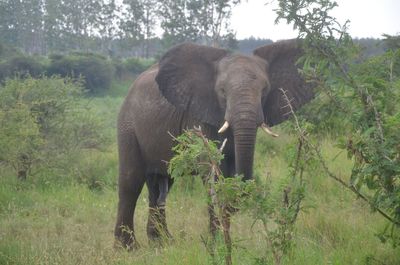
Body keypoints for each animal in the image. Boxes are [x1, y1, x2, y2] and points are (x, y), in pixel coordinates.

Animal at [114, 39, 314, 248]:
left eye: (265, 90)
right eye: (222, 92)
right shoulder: (198, 116)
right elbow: (212, 173)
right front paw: (217, 244)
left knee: (161, 185)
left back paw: (162, 244)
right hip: (127, 125)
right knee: (131, 182)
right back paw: (127, 248)